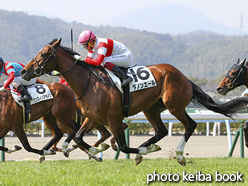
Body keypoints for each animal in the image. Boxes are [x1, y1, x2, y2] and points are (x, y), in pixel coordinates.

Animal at [19, 37, 248, 164]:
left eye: (44, 53)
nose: (24, 71)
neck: (89, 83)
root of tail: (182, 75)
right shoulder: (92, 118)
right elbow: (78, 137)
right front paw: (94, 151)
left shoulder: (113, 118)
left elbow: (123, 146)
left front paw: (134, 151)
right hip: (152, 109)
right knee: (161, 131)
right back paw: (150, 147)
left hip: (174, 105)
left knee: (190, 125)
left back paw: (179, 154)